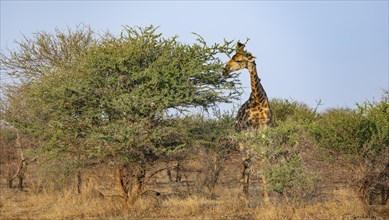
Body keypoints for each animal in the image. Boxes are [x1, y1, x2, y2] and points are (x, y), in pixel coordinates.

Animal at [223, 42, 272, 200]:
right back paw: (243, 193)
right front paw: (245, 196)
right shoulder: (247, 129)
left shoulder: (265, 128)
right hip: (241, 137)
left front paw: (267, 198)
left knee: (247, 160)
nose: (224, 70)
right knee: (244, 160)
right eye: (232, 56)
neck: (258, 99)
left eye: (239, 60)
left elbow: (263, 159)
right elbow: (248, 161)